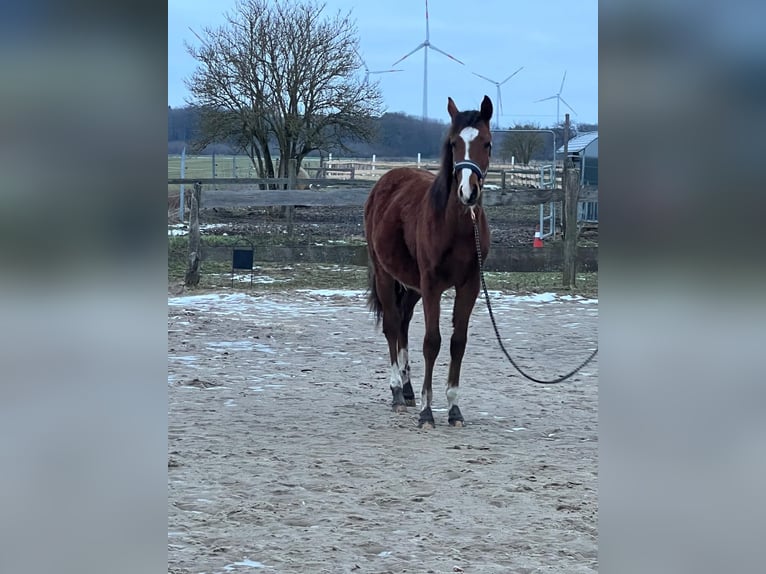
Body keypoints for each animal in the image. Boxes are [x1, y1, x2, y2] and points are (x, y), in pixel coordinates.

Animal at [364, 95, 493, 429]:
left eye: (487, 143)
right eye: (453, 143)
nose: (468, 192)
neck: (457, 226)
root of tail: (386, 180)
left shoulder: (469, 286)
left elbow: (457, 342)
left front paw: (453, 409)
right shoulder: (432, 285)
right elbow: (432, 342)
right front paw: (426, 411)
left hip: (412, 285)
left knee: (403, 323)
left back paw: (408, 389)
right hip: (386, 274)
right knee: (392, 325)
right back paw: (398, 391)